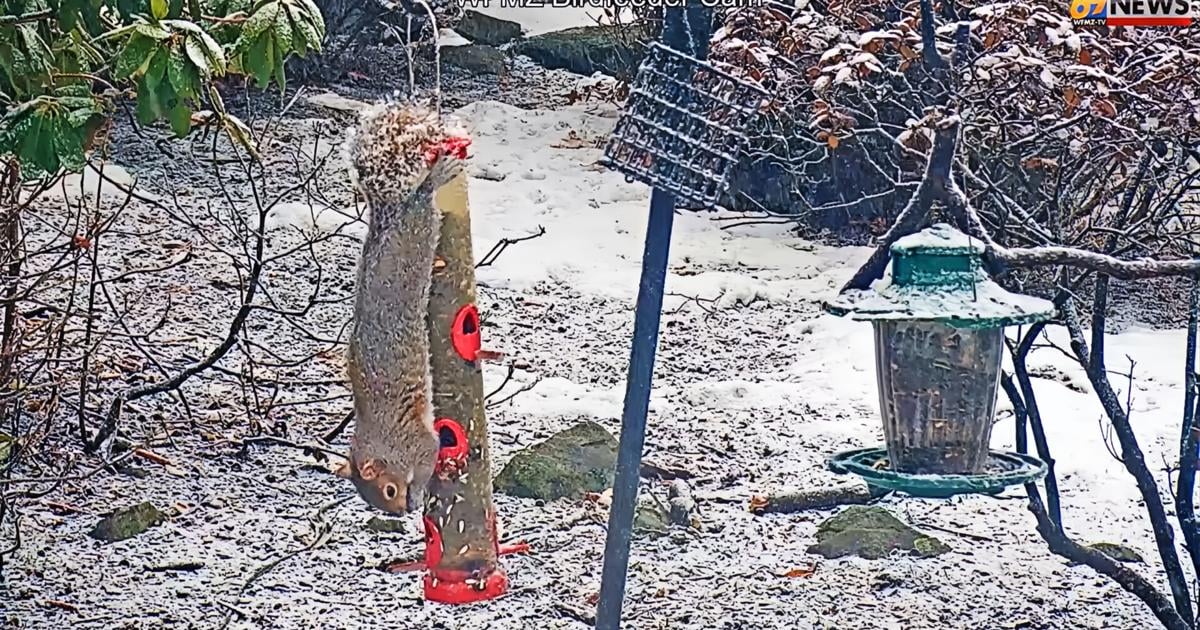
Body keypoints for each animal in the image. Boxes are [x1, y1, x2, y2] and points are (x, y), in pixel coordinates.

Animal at [337, 101, 471, 514]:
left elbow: (429, 456)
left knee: (424, 194)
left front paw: (423, 489)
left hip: (420, 227)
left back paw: (438, 174)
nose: (404, 512)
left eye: (390, 490)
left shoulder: (417, 442)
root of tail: (388, 211)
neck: (383, 441)